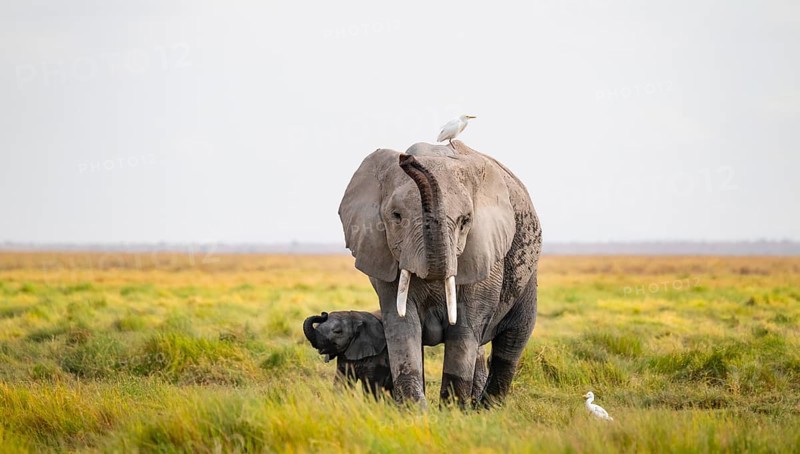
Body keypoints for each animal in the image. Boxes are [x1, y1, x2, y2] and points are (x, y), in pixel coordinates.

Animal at [303, 310, 489, 400]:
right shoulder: (346, 355)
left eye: (337, 331)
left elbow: (371, 386)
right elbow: (342, 382)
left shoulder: (377, 356)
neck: (355, 316)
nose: (323, 314)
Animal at [338, 140, 541, 407]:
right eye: (396, 216)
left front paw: (451, 411)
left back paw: (485, 408)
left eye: (465, 221)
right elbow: (403, 324)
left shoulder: (484, 254)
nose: (406, 159)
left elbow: (464, 327)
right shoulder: (387, 257)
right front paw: (414, 411)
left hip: (528, 273)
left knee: (512, 340)